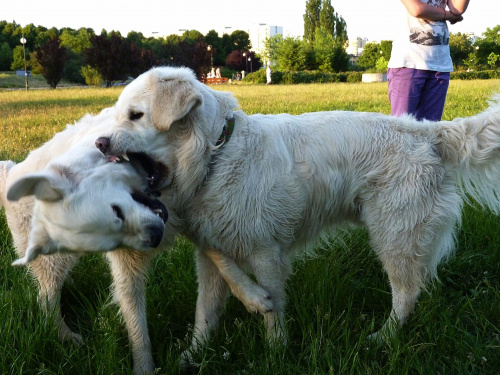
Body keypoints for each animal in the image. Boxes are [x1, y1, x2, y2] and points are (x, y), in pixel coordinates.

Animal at [93, 67, 500, 374]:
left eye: (135, 115)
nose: (98, 143)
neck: (216, 155)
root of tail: (426, 131)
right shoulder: (211, 254)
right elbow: (205, 312)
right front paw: (193, 355)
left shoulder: (266, 253)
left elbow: (273, 309)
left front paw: (276, 355)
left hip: (394, 236)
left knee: (405, 294)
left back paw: (382, 339)